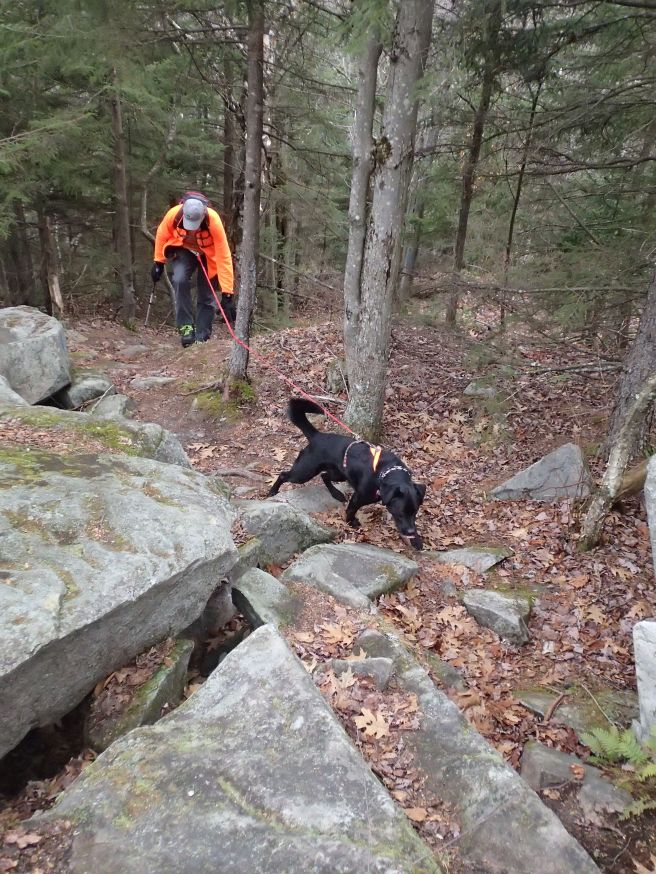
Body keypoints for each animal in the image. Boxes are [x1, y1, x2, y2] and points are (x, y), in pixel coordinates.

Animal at [268, 398, 426, 550]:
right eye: (400, 513)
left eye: (415, 512)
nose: (410, 532)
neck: (385, 473)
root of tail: (317, 436)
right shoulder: (358, 498)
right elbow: (351, 511)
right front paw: (350, 523)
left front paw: (416, 540)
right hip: (304, 472)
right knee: (283, 475)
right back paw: (272, 491)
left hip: (340, 474)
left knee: (324, 476)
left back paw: (336, 494)